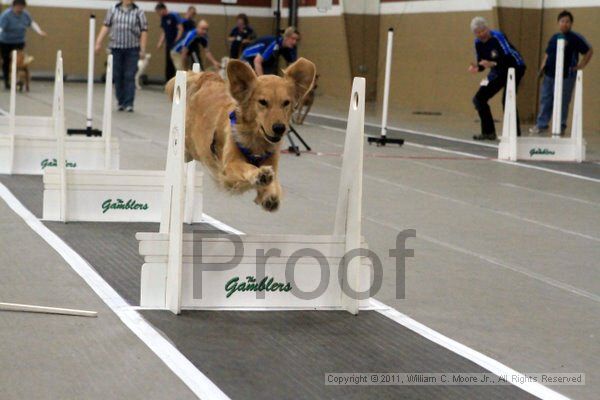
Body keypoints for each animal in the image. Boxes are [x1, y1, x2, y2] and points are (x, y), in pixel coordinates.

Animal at [164, 58, 314, 212]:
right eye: (263, 102)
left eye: (286, 103)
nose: (279, 128)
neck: (256, 141)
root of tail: (208, 77)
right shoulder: (229, 166)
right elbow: (247, 167)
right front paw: (259, 174)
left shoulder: (272, 166)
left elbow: (274, 184)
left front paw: (270, 196)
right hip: (188, 147)